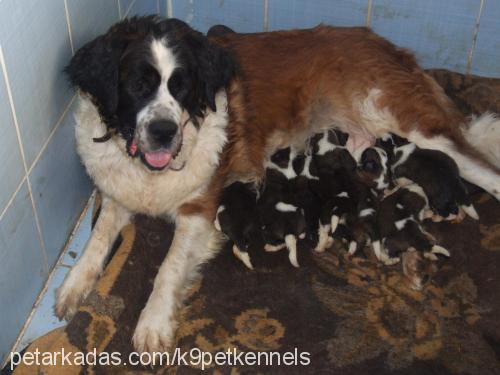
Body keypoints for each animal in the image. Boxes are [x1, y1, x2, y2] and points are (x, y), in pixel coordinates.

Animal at [55, 15, 500, 356]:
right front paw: (74, 283)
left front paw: (153, 322)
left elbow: (169, 266)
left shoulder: (200, 212)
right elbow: (99, 237)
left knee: (484, 171)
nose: (163, 132)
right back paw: (413, 260)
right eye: (137, 85)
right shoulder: (117, 192)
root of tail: (386, 45)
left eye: (181, 87)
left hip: (410, 124)